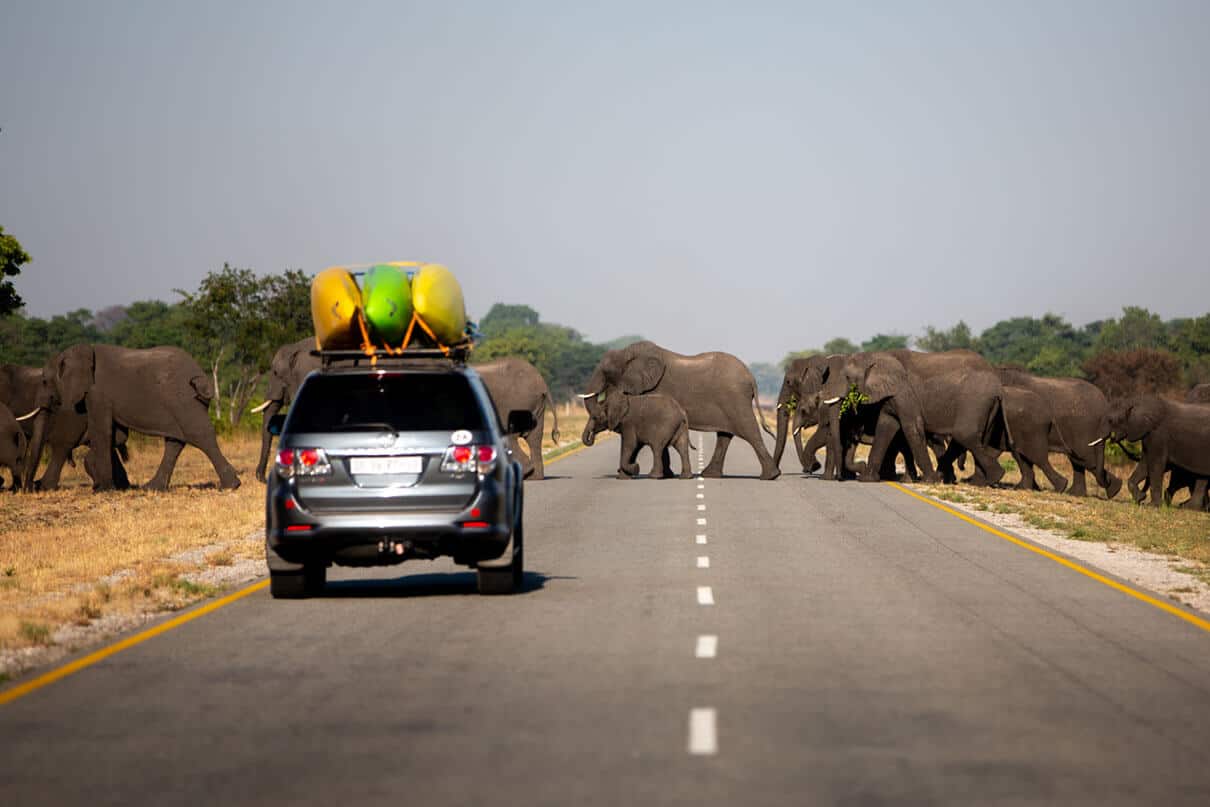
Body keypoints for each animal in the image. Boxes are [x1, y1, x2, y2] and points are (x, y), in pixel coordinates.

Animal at [26, 344, 241, 492]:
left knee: (199, 435)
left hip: (183, 401)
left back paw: (231, 486)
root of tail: (199, 374)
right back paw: (152, 488)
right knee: (175, 442)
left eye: (44, 381)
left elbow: (101, 431)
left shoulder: (97, 394)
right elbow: (115, 436)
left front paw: (103, 489)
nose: (32, 487)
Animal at [579, 341, 779, 480]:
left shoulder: (653, 389)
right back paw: (710, 475)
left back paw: (770, 476)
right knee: (725, 435)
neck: (629, 352)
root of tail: (751, 377)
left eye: (607, 371)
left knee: (749, 431)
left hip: (735, 399)